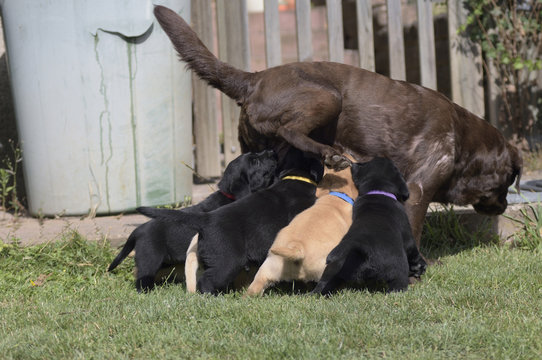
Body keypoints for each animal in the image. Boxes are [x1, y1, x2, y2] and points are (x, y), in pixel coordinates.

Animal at [107, 150, 276, 292]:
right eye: (255, 162)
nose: (272, 151)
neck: (230, 197)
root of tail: (139, 229)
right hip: (150, 257)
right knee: (142, 277)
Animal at [139, 148, 324, 294]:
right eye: (255, 161)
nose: (272, 151)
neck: (295, 178)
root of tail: (206, 219)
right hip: (228, 261)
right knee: (205, 280)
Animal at [153, 6, 524, 245]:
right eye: (508, 182)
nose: (505, 207)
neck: (465, 143)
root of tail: (253, 78)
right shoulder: (420, 188)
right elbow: (413, 227)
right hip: (329, 96)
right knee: (291, 129)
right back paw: (330, 154)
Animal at [245, 163, 360, 296]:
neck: (338, 195)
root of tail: (297, 247)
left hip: (270, 266)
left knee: (256, 284)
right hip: (326, 267)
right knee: (326, 283)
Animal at [312, 158, 428, 296]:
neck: (377, 192)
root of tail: (359, 244)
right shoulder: (407, 234)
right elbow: (413, 249)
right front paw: (420, 266)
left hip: (334, 267)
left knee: (323, 284)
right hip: (398, 270)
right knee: (397, 285)